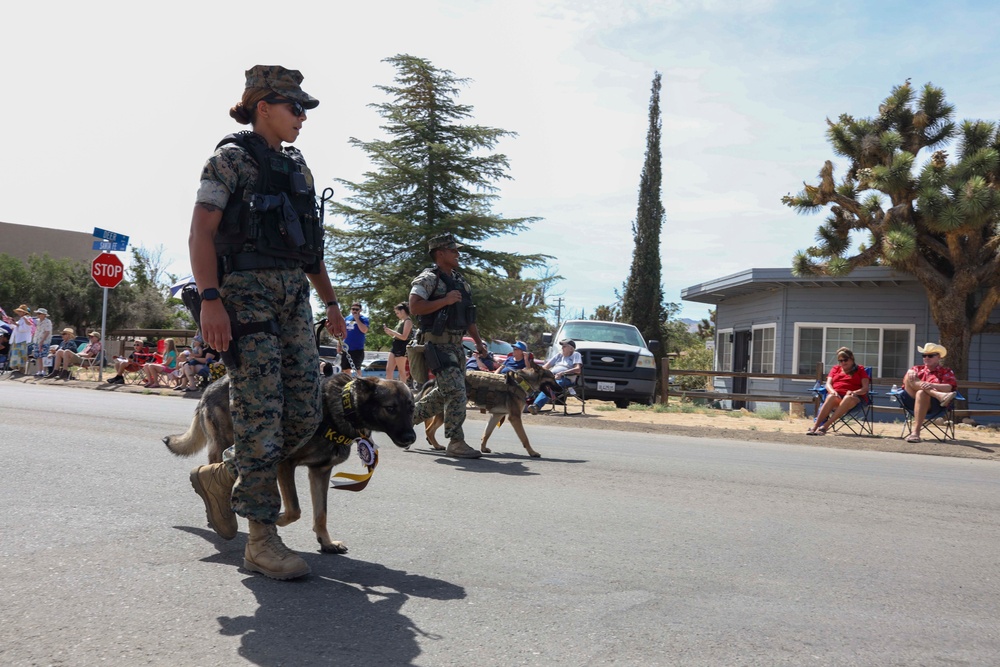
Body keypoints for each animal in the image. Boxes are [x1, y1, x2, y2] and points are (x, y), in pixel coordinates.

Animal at [164, 376, 414, 552]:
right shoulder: (285, 465)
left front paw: (326, 542)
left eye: (411, 409)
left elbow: (321, 513)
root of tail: (210, 386)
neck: (341, 409)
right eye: (391, 408)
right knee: (217, 467)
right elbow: (295, 509)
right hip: (236, 442)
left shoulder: (320, 473)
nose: (411, 437)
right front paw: (277, 519)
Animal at [422, 360, 564, 460]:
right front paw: (532, 452)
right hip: (445, 411)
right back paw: (436, 445)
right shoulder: (515, 417)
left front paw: (483, 448)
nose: (561, 389)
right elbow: (525, 438)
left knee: (429, 428)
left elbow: (487, 433)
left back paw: (435, 444)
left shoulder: (496, 415)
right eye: (552, 378)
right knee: (429, 429)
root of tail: (435, 380)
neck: (522, 382)